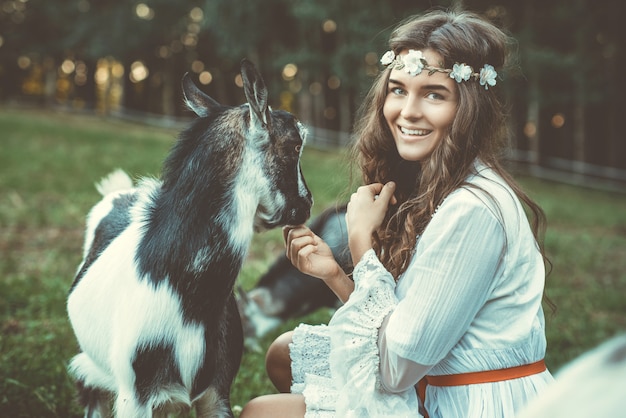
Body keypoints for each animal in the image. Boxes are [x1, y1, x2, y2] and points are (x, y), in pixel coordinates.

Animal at [66, 59, 312, 418]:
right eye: (295, 146)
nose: (306, 205)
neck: (186, 296)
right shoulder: (135, 397)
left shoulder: (217, 391)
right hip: (92, 368)